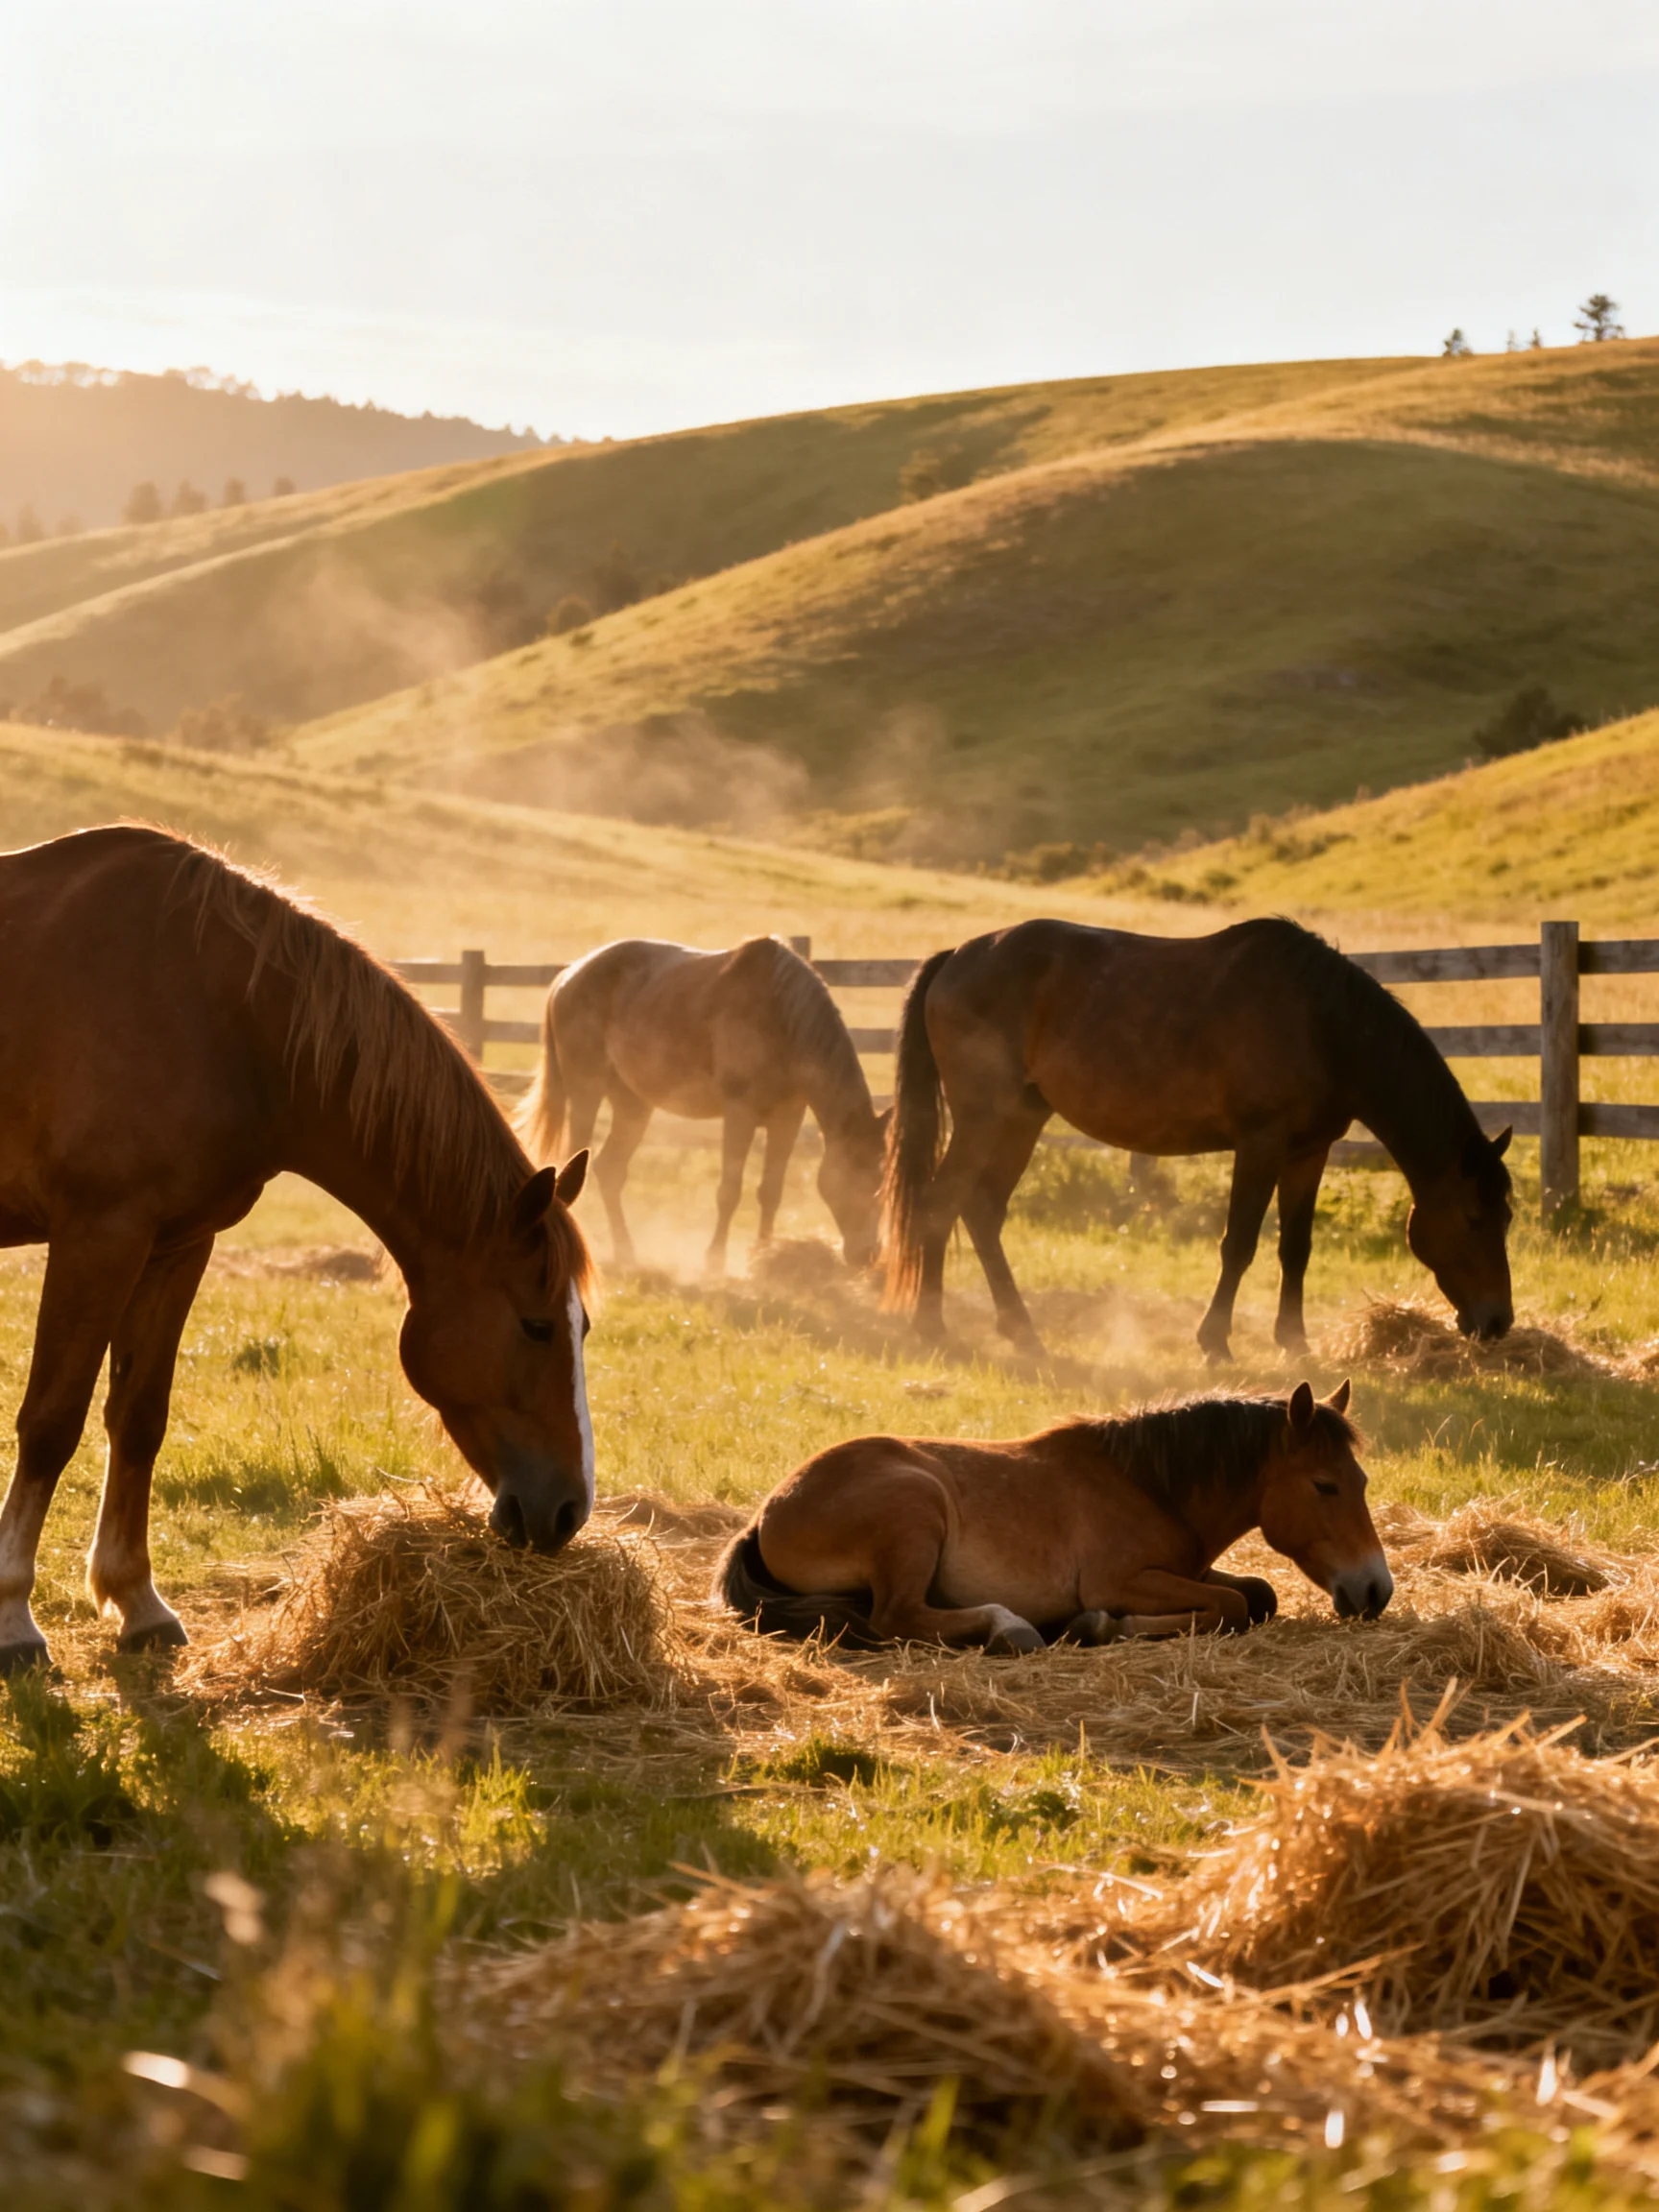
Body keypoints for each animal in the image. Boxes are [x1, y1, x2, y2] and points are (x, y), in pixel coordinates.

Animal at [0, 825, 595, 1675]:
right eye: (537, 1326)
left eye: (583, 1328)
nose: (569, 1510)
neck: (218, 1012)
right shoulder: (98, 1235)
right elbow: (52, 1421)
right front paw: (13, 1616)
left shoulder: (177, 1244)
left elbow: (138, 1416)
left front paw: (138, 1602)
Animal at [521, 935, 889, 1274]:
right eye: (859, 1181)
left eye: (882, 1180)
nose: (868, 1255)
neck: (781, 1017)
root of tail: (568, 975)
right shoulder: (740, 1114)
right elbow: (730, 1190)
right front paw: (715, 1260)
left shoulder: (788, 1117)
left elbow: (771, 1191)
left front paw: (763, 1256)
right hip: (586, 1092)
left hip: (633, 1105)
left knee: (610, 1169)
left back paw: (626, 1252)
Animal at [715, 1380, 1388, 1653]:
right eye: (1325, 1486)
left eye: (1361, 1482)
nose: (1376, 1589)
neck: (1146, 1484)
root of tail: (768, 1511)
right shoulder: (1121, 1580)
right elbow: (1232, 1607)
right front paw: (1099, 1625)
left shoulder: (1185, 1571)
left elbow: (1258, 1594)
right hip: (915, 1511)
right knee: (895, 1617)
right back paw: (1010, 1630)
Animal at [881, 918, 1514, 1361]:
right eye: (1474, 1219)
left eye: (1506, 1217)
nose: (1498, 1321)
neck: (1324, 1024)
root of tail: (955, 958)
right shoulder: (1260, 1144)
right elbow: (1240, 1244)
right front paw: (1215, 1341)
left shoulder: (1309, 1152)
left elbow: (1296, 1247)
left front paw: (1294, 1342)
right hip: (983, 1116)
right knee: (940, 1202)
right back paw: (931, 1326)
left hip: (1022, 1117)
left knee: (982, 1210)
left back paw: (1021, 1331)